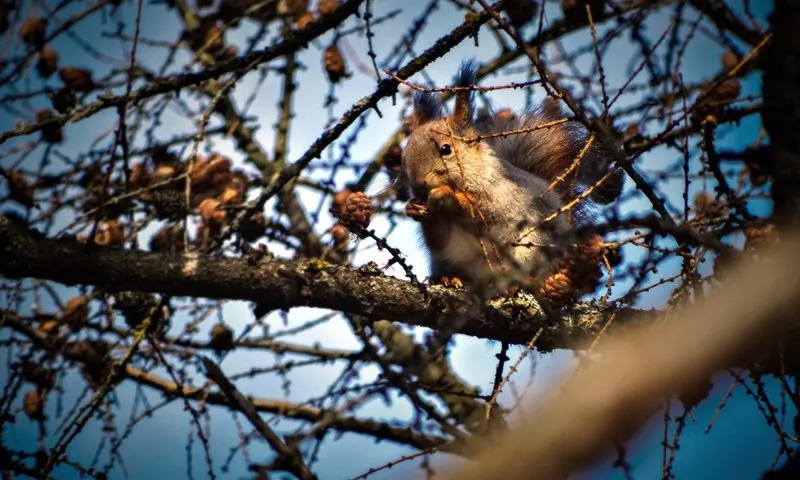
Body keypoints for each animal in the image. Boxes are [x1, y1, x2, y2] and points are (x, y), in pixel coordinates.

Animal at [396, 60, 622, 290]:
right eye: (403, 157)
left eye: (446, 149)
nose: (418, 185)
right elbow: (438, 238)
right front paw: (413, 207)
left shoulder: (504, 196)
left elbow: (485, 212)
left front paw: (445, 195)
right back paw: (448, 278)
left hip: (533, 250)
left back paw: (522, 283)